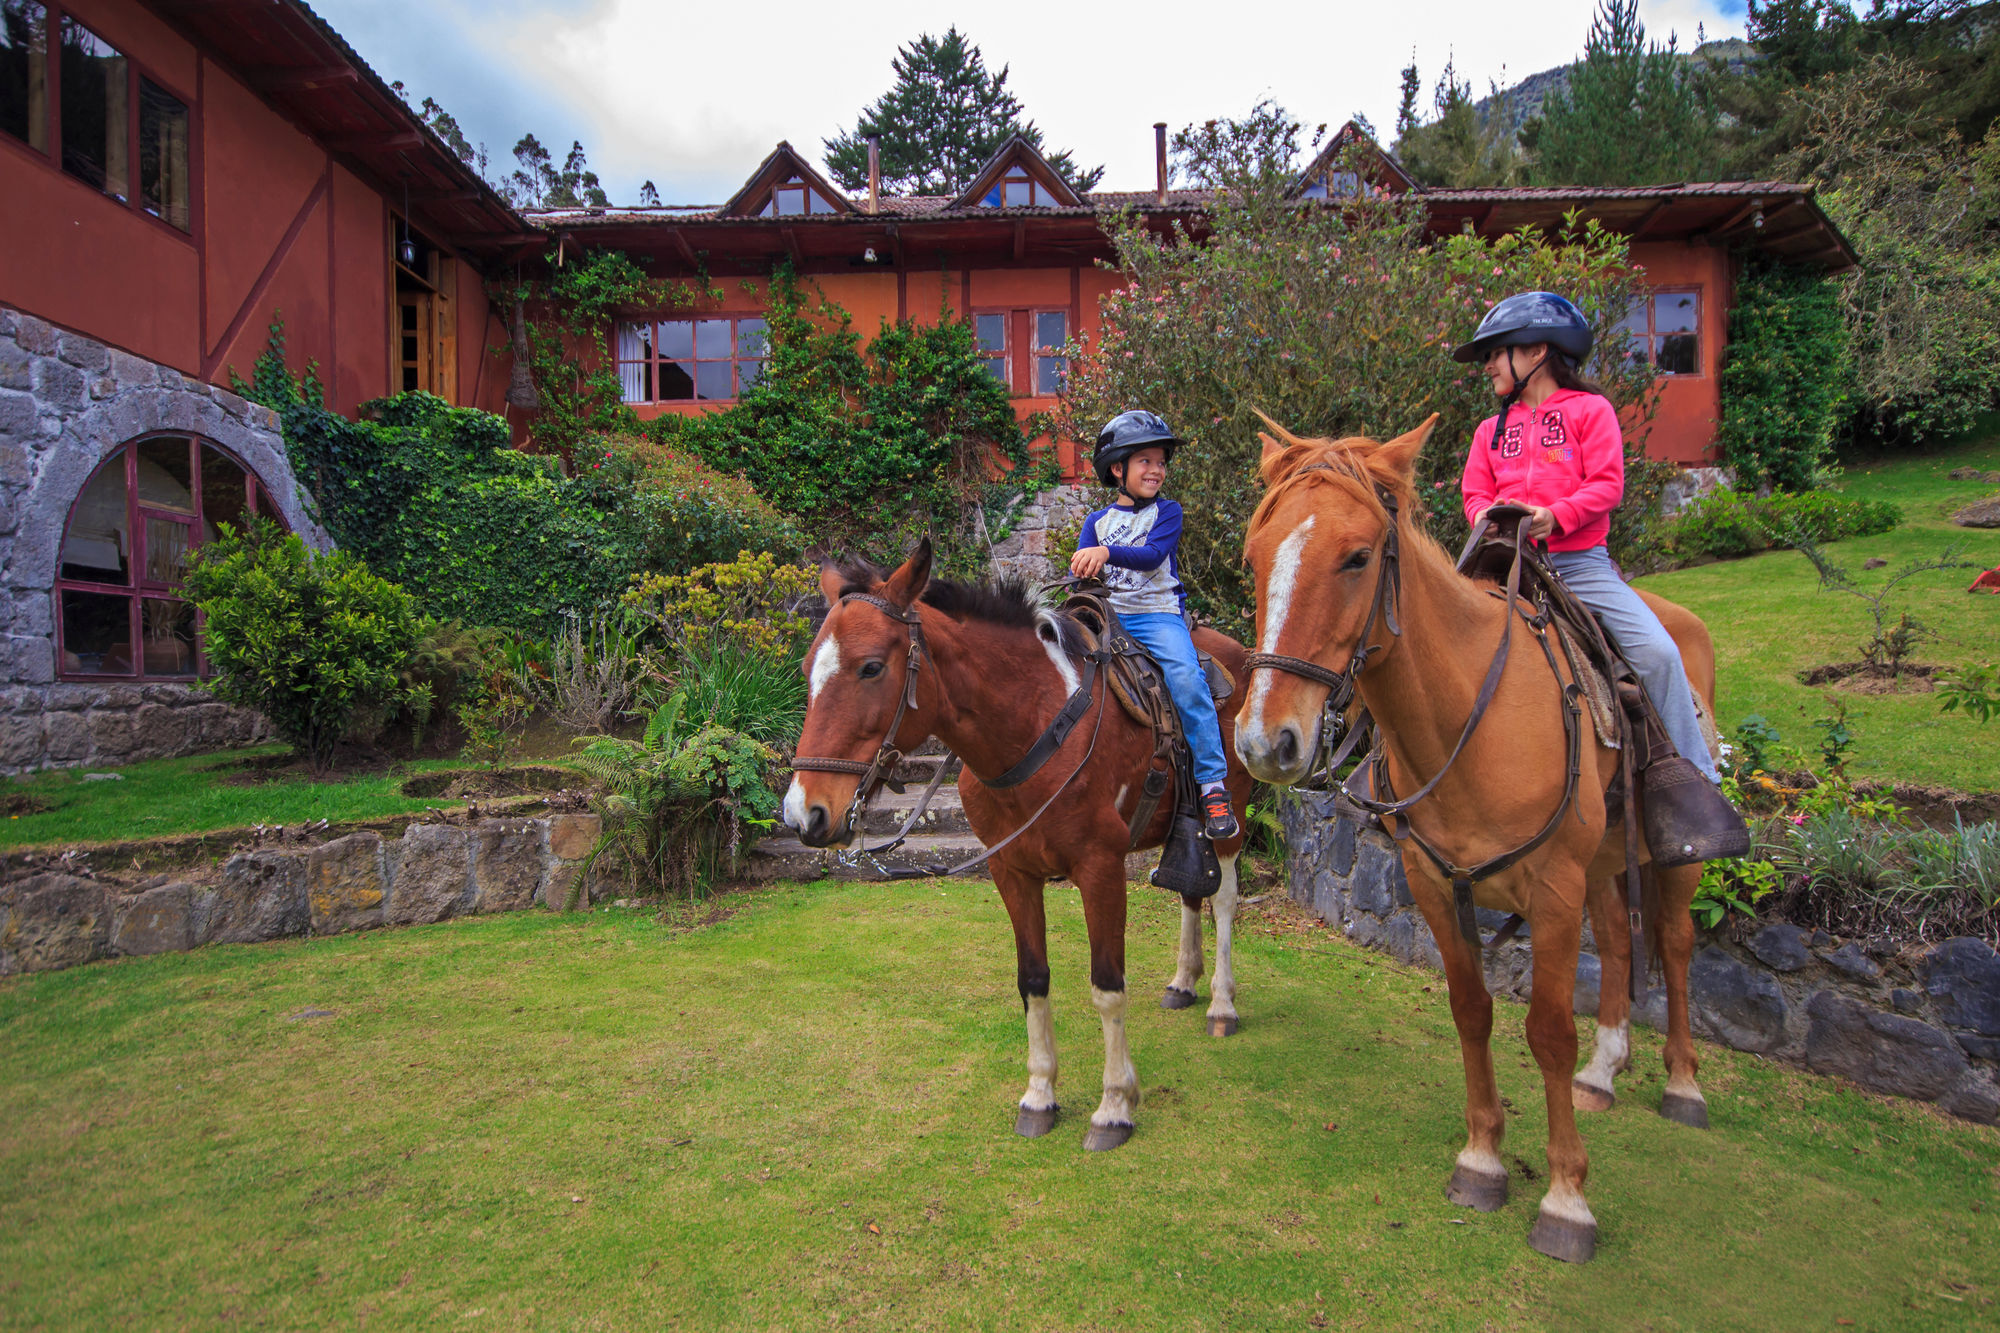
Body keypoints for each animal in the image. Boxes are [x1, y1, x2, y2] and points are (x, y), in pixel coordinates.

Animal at [780, 536, 1248, 1144]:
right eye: (808, 669)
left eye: (871, 667)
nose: (803, 813)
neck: (1038, 724)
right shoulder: (1011, 871)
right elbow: (1033, 979)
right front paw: (1040, 1095)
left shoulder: (1100, 868)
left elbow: (1107, 986)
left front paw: (1115, 1104)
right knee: (1190, 891)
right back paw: (1184, 982)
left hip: (1233, 816)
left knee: (1224, 900)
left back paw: (1221, 1003)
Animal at [1232, 420, 1720, 1264]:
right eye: (1255, 556)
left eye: (1357, 557)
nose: (1269, 741)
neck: (1468, 714)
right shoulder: (1436, 885)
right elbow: (1471, 1010)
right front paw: (1483, 1157)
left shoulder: (1552, 890)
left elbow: (1549, 1030)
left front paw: (1565, 1197)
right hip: (1602, 861)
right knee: (1619, 944)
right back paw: (1606, 1069)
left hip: (1663, 859)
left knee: (1675, 942)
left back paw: (1682, 1081)